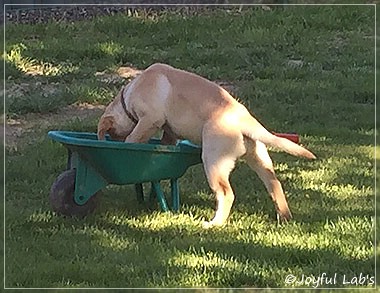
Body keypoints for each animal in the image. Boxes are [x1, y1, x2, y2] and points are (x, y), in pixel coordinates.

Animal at [98, 63, 314, 228]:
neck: (129, 94)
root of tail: (245, 120)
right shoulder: (169, 132)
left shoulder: (151, 119)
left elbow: (134, 136)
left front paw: (128, 148)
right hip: (260, 160)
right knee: (275, 185)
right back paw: (284, 217)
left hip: (213, 161)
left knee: (227, 194)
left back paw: (214, 224)